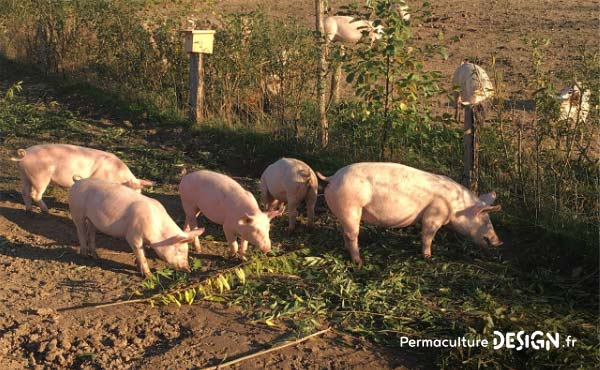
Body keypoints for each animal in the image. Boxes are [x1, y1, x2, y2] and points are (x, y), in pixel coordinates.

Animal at [10, 145, 154, 214]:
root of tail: (24, 155)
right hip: (40, 176)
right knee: (35, 194)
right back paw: (46, 211)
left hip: (24, 175)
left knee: (24, 192)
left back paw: (29, 211)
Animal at [68, 178, 204, 276]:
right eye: (179, 250)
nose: (188, 269)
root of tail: (77, 182)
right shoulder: (133, 236)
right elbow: (141, 253)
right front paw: (149, 276)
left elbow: (141, 254)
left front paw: (138, 268)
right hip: (77, 211)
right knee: (80, 231)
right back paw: (85, 256)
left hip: (92, 220)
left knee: (91, 232)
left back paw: (96, 257)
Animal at [316, 162, 504, 266]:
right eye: (485, 219)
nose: (499, 242)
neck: (456, 207)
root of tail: (332, 178)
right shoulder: (433, 216)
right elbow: (427, 237)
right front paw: (428, 257)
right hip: (351, 207)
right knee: (351, 235)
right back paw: (359, 262)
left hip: (345, 212)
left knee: (345, 232)